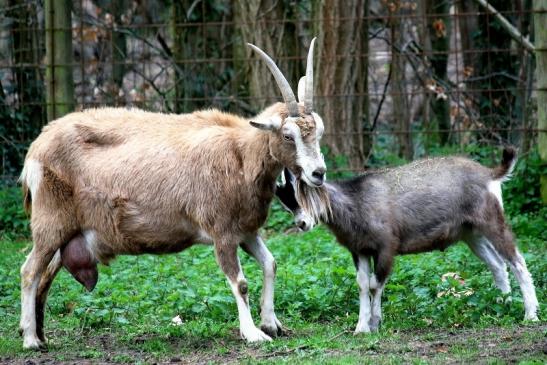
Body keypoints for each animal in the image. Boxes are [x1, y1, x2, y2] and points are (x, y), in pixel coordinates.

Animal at [18, 38, 326, 348]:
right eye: (288, 135)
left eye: (319, 133)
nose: (318, 173)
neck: (240, 153)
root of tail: (36, 148)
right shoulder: (223, 233)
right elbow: (240, 283)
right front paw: (253, 334)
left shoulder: (246, 232)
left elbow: (270, 264)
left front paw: (272, 324)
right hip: (50, 226)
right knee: (30, 271)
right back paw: (31, 339)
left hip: (69, 234)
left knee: (45, 274)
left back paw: (39, 335)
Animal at [276, 148, 540, 332]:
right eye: (287, 203)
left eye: (303, 191)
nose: (302, 223)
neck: (355, 201)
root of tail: (491, 174)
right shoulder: (359, 249)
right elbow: (362, 284)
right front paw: (361, 328)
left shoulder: (386, 247)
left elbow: (375, 284)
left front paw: (375, 323)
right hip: (470, 233)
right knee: (497, 264)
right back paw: (502, 305)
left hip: (491, 220)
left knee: (517, 261)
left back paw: (530, 315)